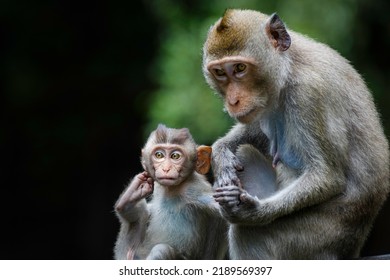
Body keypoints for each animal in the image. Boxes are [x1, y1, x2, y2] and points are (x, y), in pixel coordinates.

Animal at [113, 124, 225, 260]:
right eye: (159, 155)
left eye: (175, 156)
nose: (166, 169)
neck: (173, 189)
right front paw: (135, 191)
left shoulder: (194, 190)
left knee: (162, 250)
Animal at [203, 9, 388, 260]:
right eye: (220, 72)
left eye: (240, 68)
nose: (233, 101)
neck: (290, 66)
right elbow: (256, 133)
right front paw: (221, 155)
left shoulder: (307, 95)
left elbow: (326, 176)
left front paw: (254, 212)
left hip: (314, 241)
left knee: (246, 233)